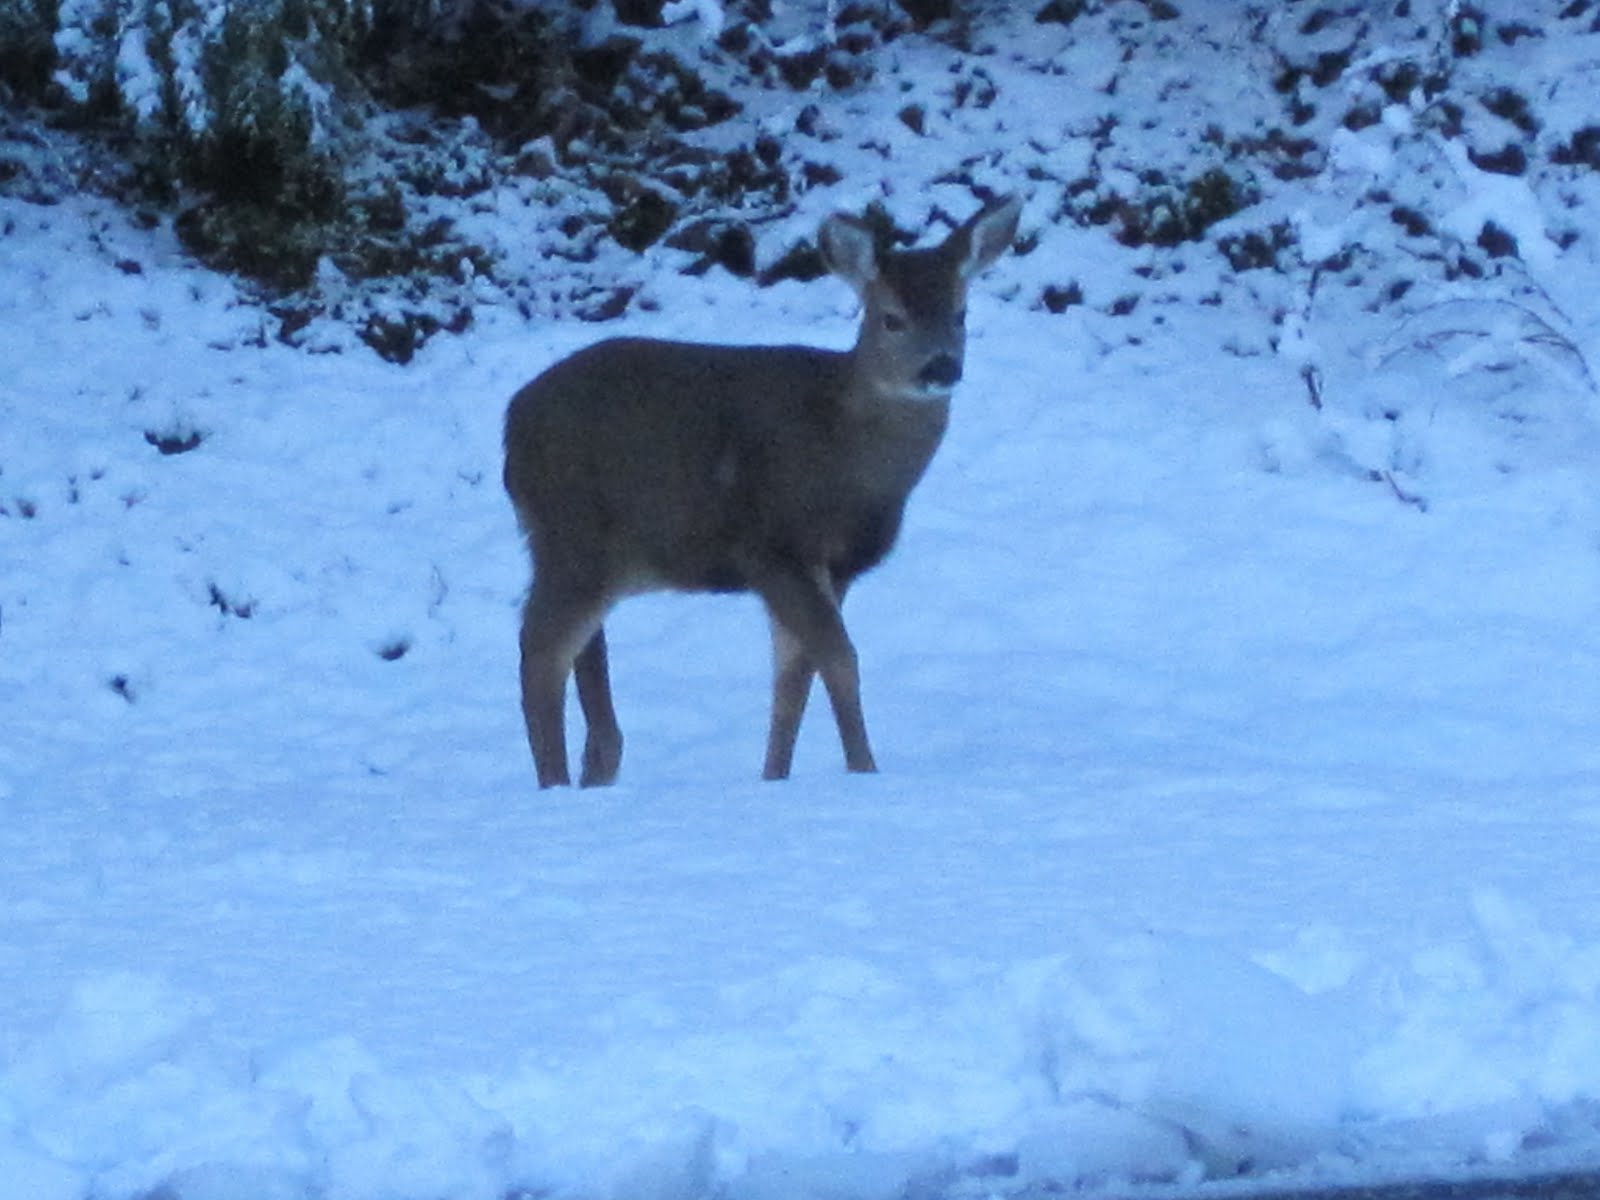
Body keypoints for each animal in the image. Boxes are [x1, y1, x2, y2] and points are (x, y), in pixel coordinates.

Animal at [503, 194, 1022, 787]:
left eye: (960, 314)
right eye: (891, 318)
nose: (942, 367)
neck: (846, 453)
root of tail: (511, 425)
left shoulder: (832, 568)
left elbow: (794, 678)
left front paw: (774, 779)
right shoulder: (771, 546)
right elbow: (839, 659)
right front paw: (864, 770)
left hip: (586, 553)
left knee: (580, 663)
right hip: (573, 536)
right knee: (540, 652)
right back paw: (553, 786)